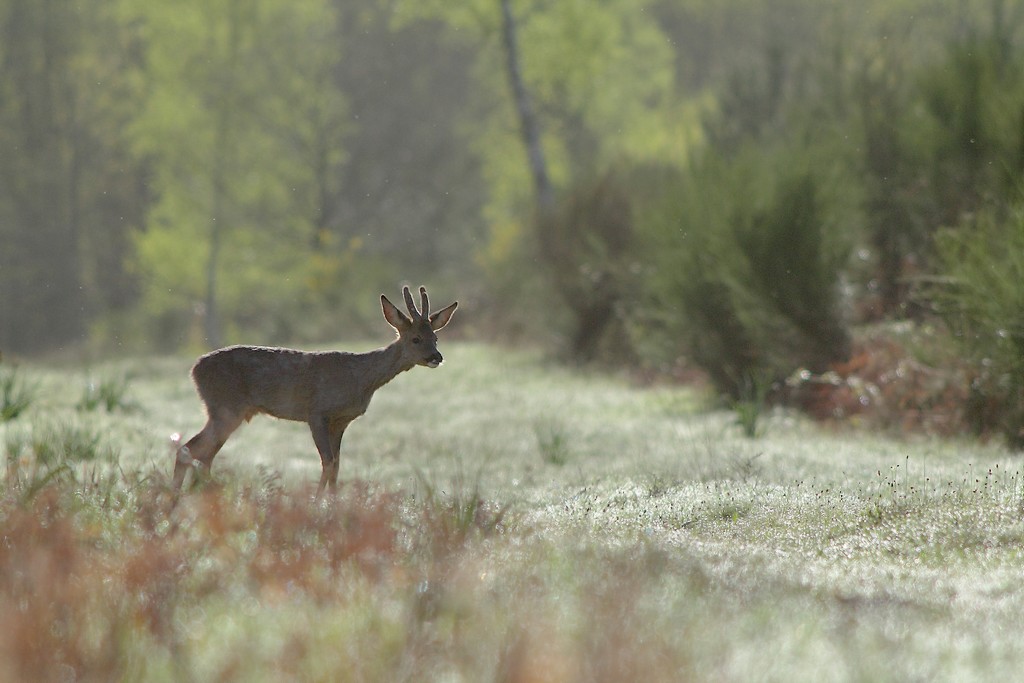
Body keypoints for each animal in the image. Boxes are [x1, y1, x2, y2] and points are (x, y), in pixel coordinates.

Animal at [172, 286, 456, 493]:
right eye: (416, 339)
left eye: (435, 337)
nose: (436, 357)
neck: (360, 377)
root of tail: (194, 370)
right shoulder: (317, 412)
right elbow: (327, 462)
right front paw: (318, 503)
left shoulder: (341, 421)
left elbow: (337, 465)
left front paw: (333, 501)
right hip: (225, 407)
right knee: (190, 449)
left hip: (226, 412)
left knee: (201, 454)